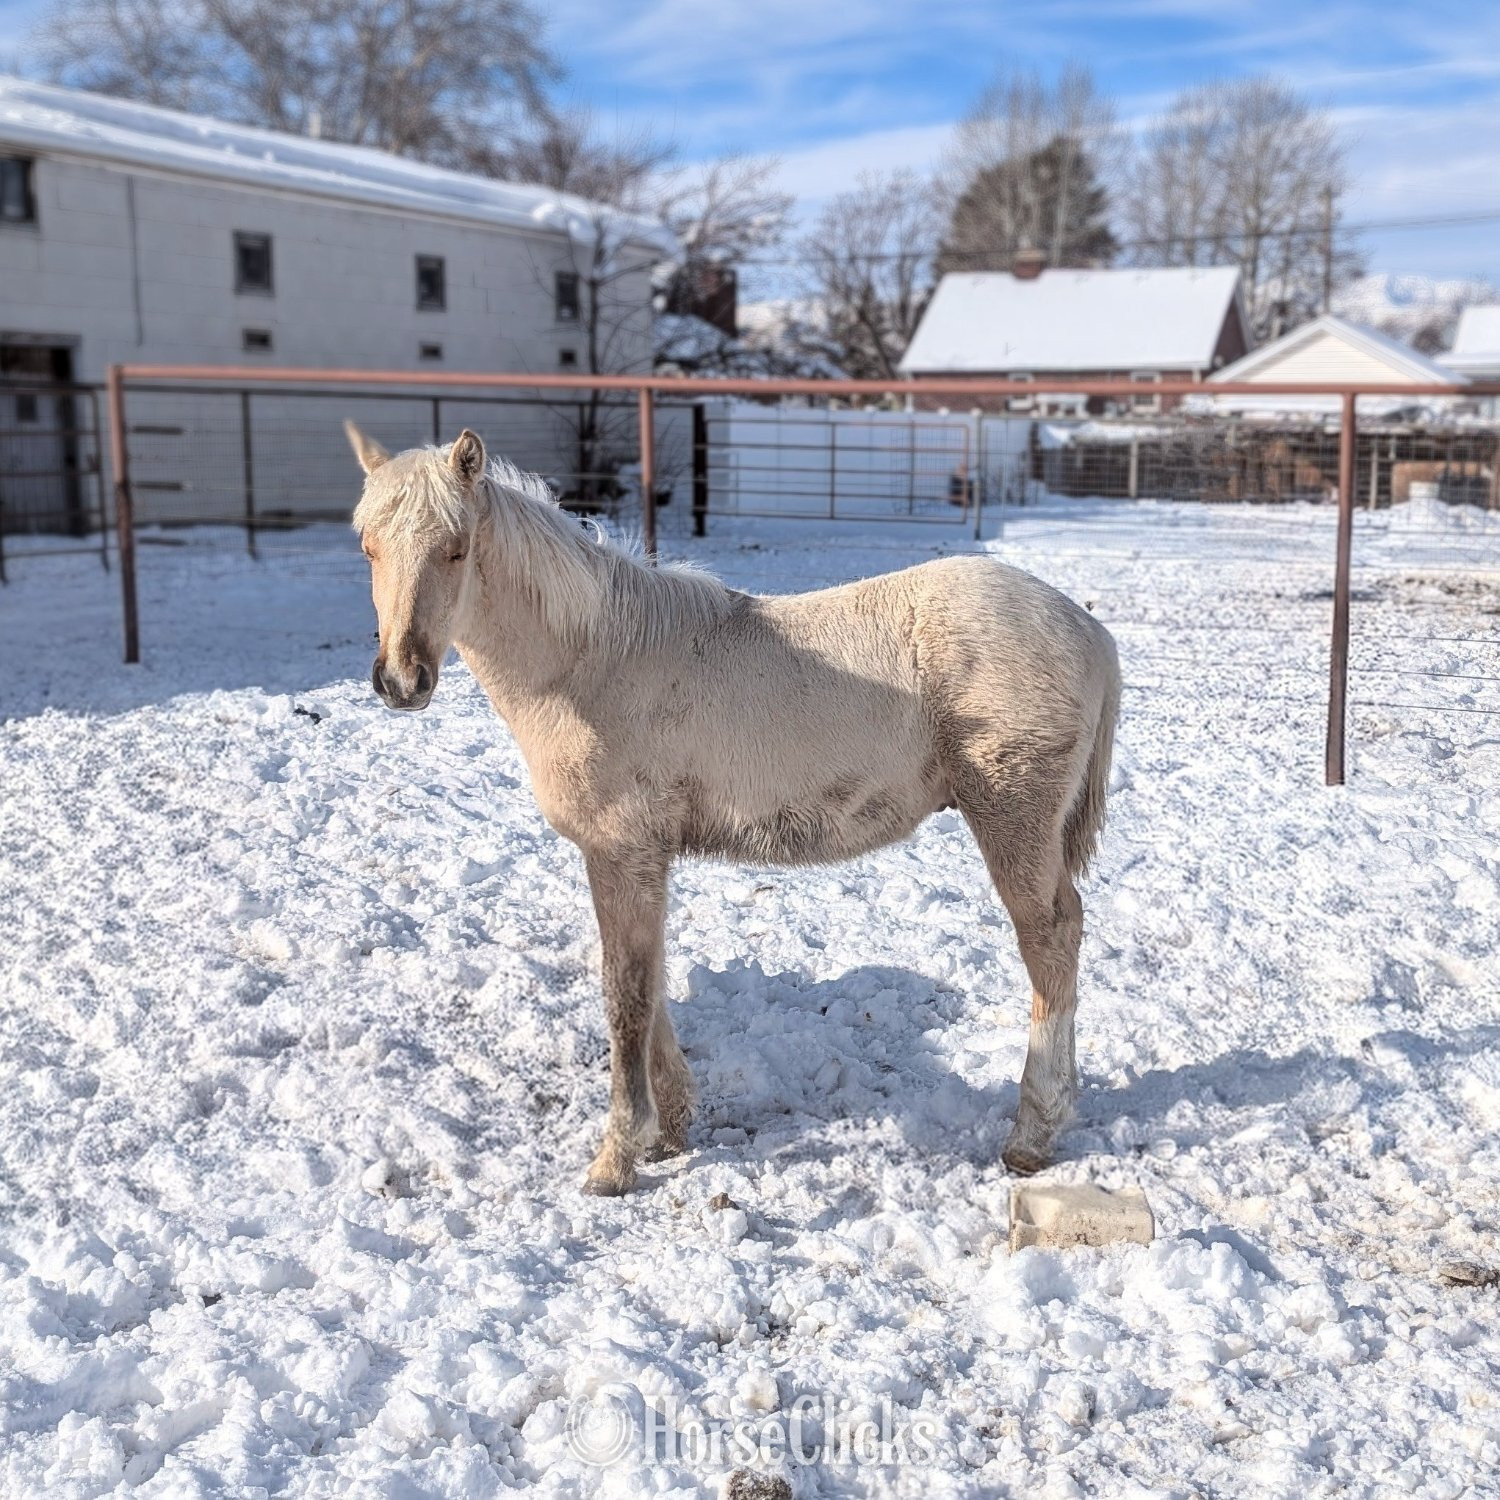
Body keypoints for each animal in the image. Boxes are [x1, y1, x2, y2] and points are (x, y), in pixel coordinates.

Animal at [347, 423, 1122, 1196]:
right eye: (368, 545)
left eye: (456, 547)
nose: (401, 681)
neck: (592, 661)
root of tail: (1090, 630)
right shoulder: (645, 859)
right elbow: (651, 977)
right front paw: (670, 1131)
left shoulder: (619, 852)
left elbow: (624, 994)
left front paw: (615, 1159)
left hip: (1013, 819)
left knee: (1050, 939)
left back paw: (1032, 1135)